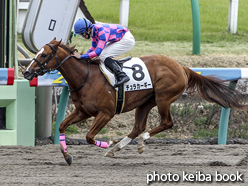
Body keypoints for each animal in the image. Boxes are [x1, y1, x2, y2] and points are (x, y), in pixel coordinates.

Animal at [23, 37, 248, 164]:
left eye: (43, 55)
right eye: (38, 52)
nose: (26, 72)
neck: (85, 76)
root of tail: (181, 67)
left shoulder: (106, 113)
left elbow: (88, 137)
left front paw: (107, 142)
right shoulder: (83, 111)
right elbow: (61, 126)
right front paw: (67, 157)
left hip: (164, 97)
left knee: (166, 123)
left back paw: (138, 141)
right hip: (145, 103)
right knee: (138, 127)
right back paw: (118, 148)